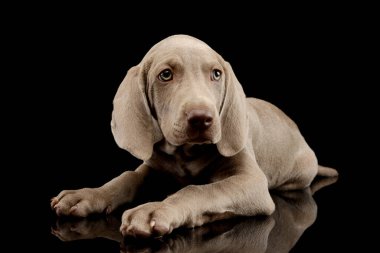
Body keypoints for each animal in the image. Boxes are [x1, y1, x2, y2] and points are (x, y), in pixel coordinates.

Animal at [49, 34, 336, 238]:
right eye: (165, 74)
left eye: (216, 74)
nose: (202, 118)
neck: (185, 153)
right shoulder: (154, 165)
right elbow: (127, 177)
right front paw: (86, 195)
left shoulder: (252, 182)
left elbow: (200, 190)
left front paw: (156, 209)